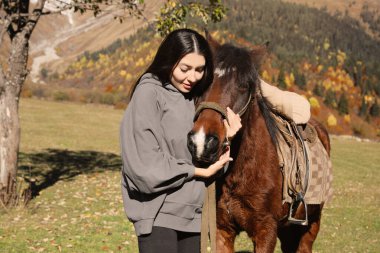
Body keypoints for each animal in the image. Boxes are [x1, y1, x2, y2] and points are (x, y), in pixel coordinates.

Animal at [189, 34, 332, 253]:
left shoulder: (266, 231)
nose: (202, 141)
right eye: (205, 82)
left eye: (244, 86)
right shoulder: (222, 230)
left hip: (311, 226)